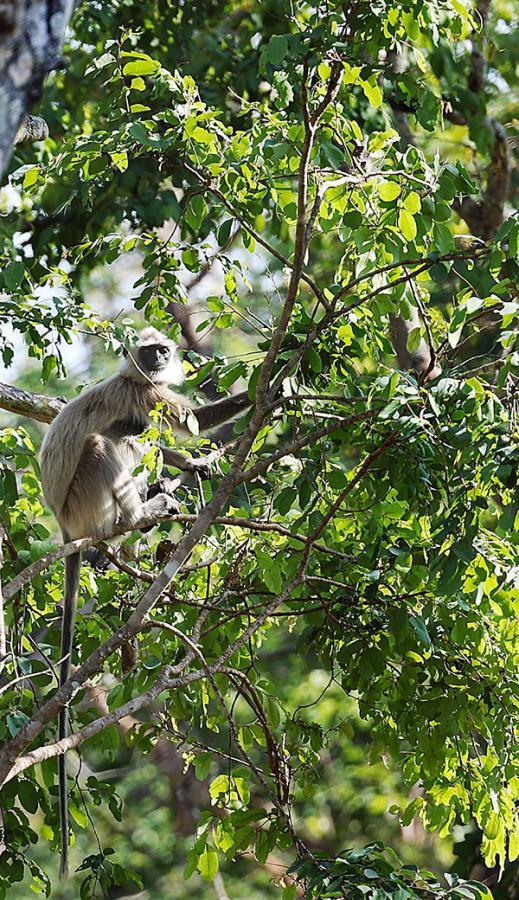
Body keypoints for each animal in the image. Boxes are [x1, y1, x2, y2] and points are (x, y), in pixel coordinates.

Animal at [39, 326, 250, 880]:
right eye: (150, 350)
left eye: (164, 350)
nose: (158, 358)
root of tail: (64, 527)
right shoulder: (141, 391)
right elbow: (185, 419)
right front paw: (288, 376)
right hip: (85, 500)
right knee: (112, 439)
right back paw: (138, 513)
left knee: (137, 437)